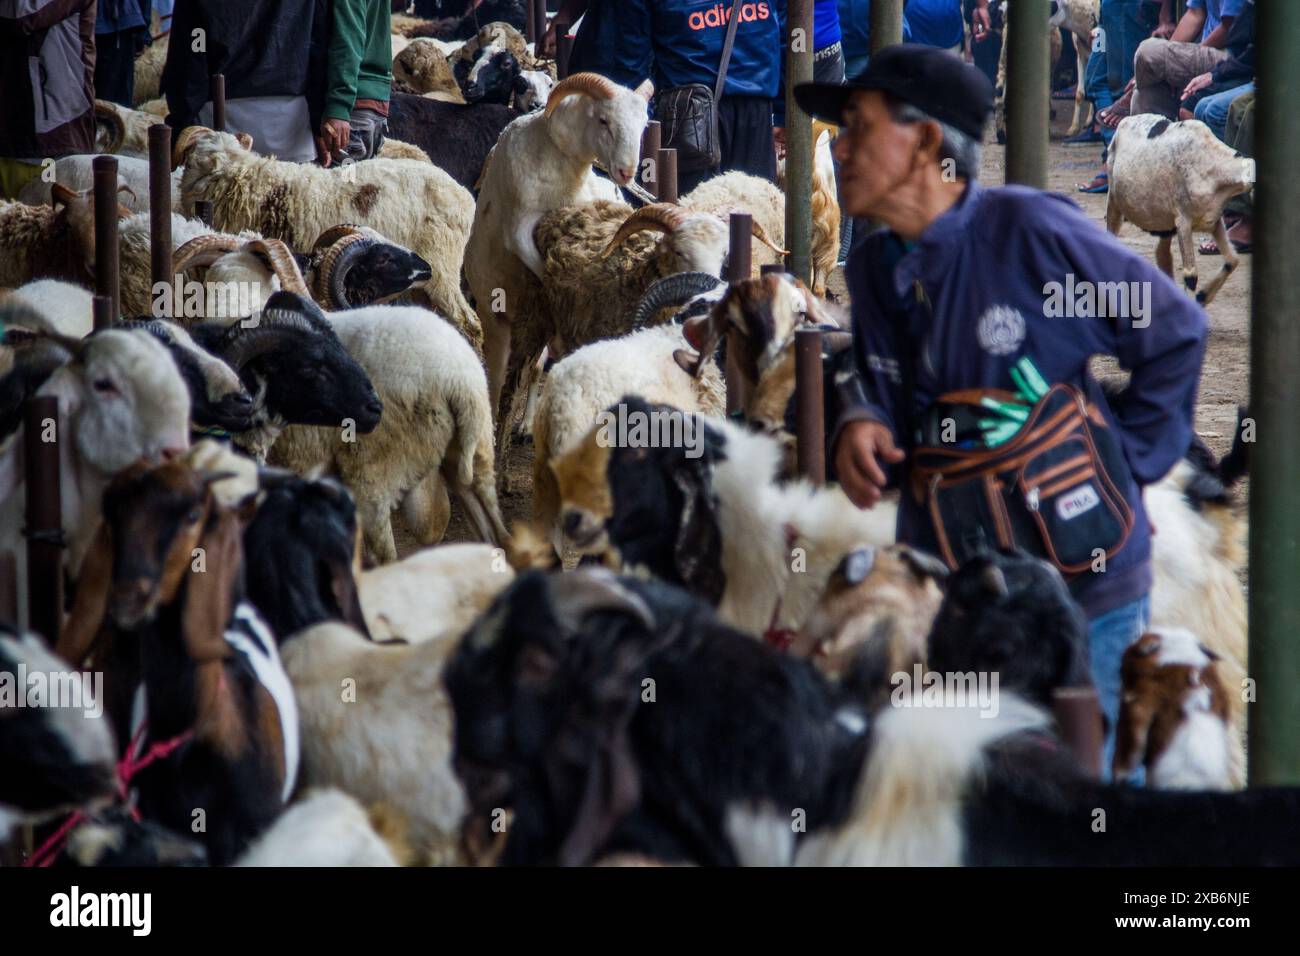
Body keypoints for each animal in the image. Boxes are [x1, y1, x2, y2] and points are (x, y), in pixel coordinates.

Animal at [1102, 113, 1253, 304]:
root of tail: (1126, 119)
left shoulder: (1213, 220)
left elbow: (1232, 261)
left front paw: (1203, 296)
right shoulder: (1183, 221)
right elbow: (1191, 275)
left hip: (1164, 223)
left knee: (1162, 255)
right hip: (1114, 202)